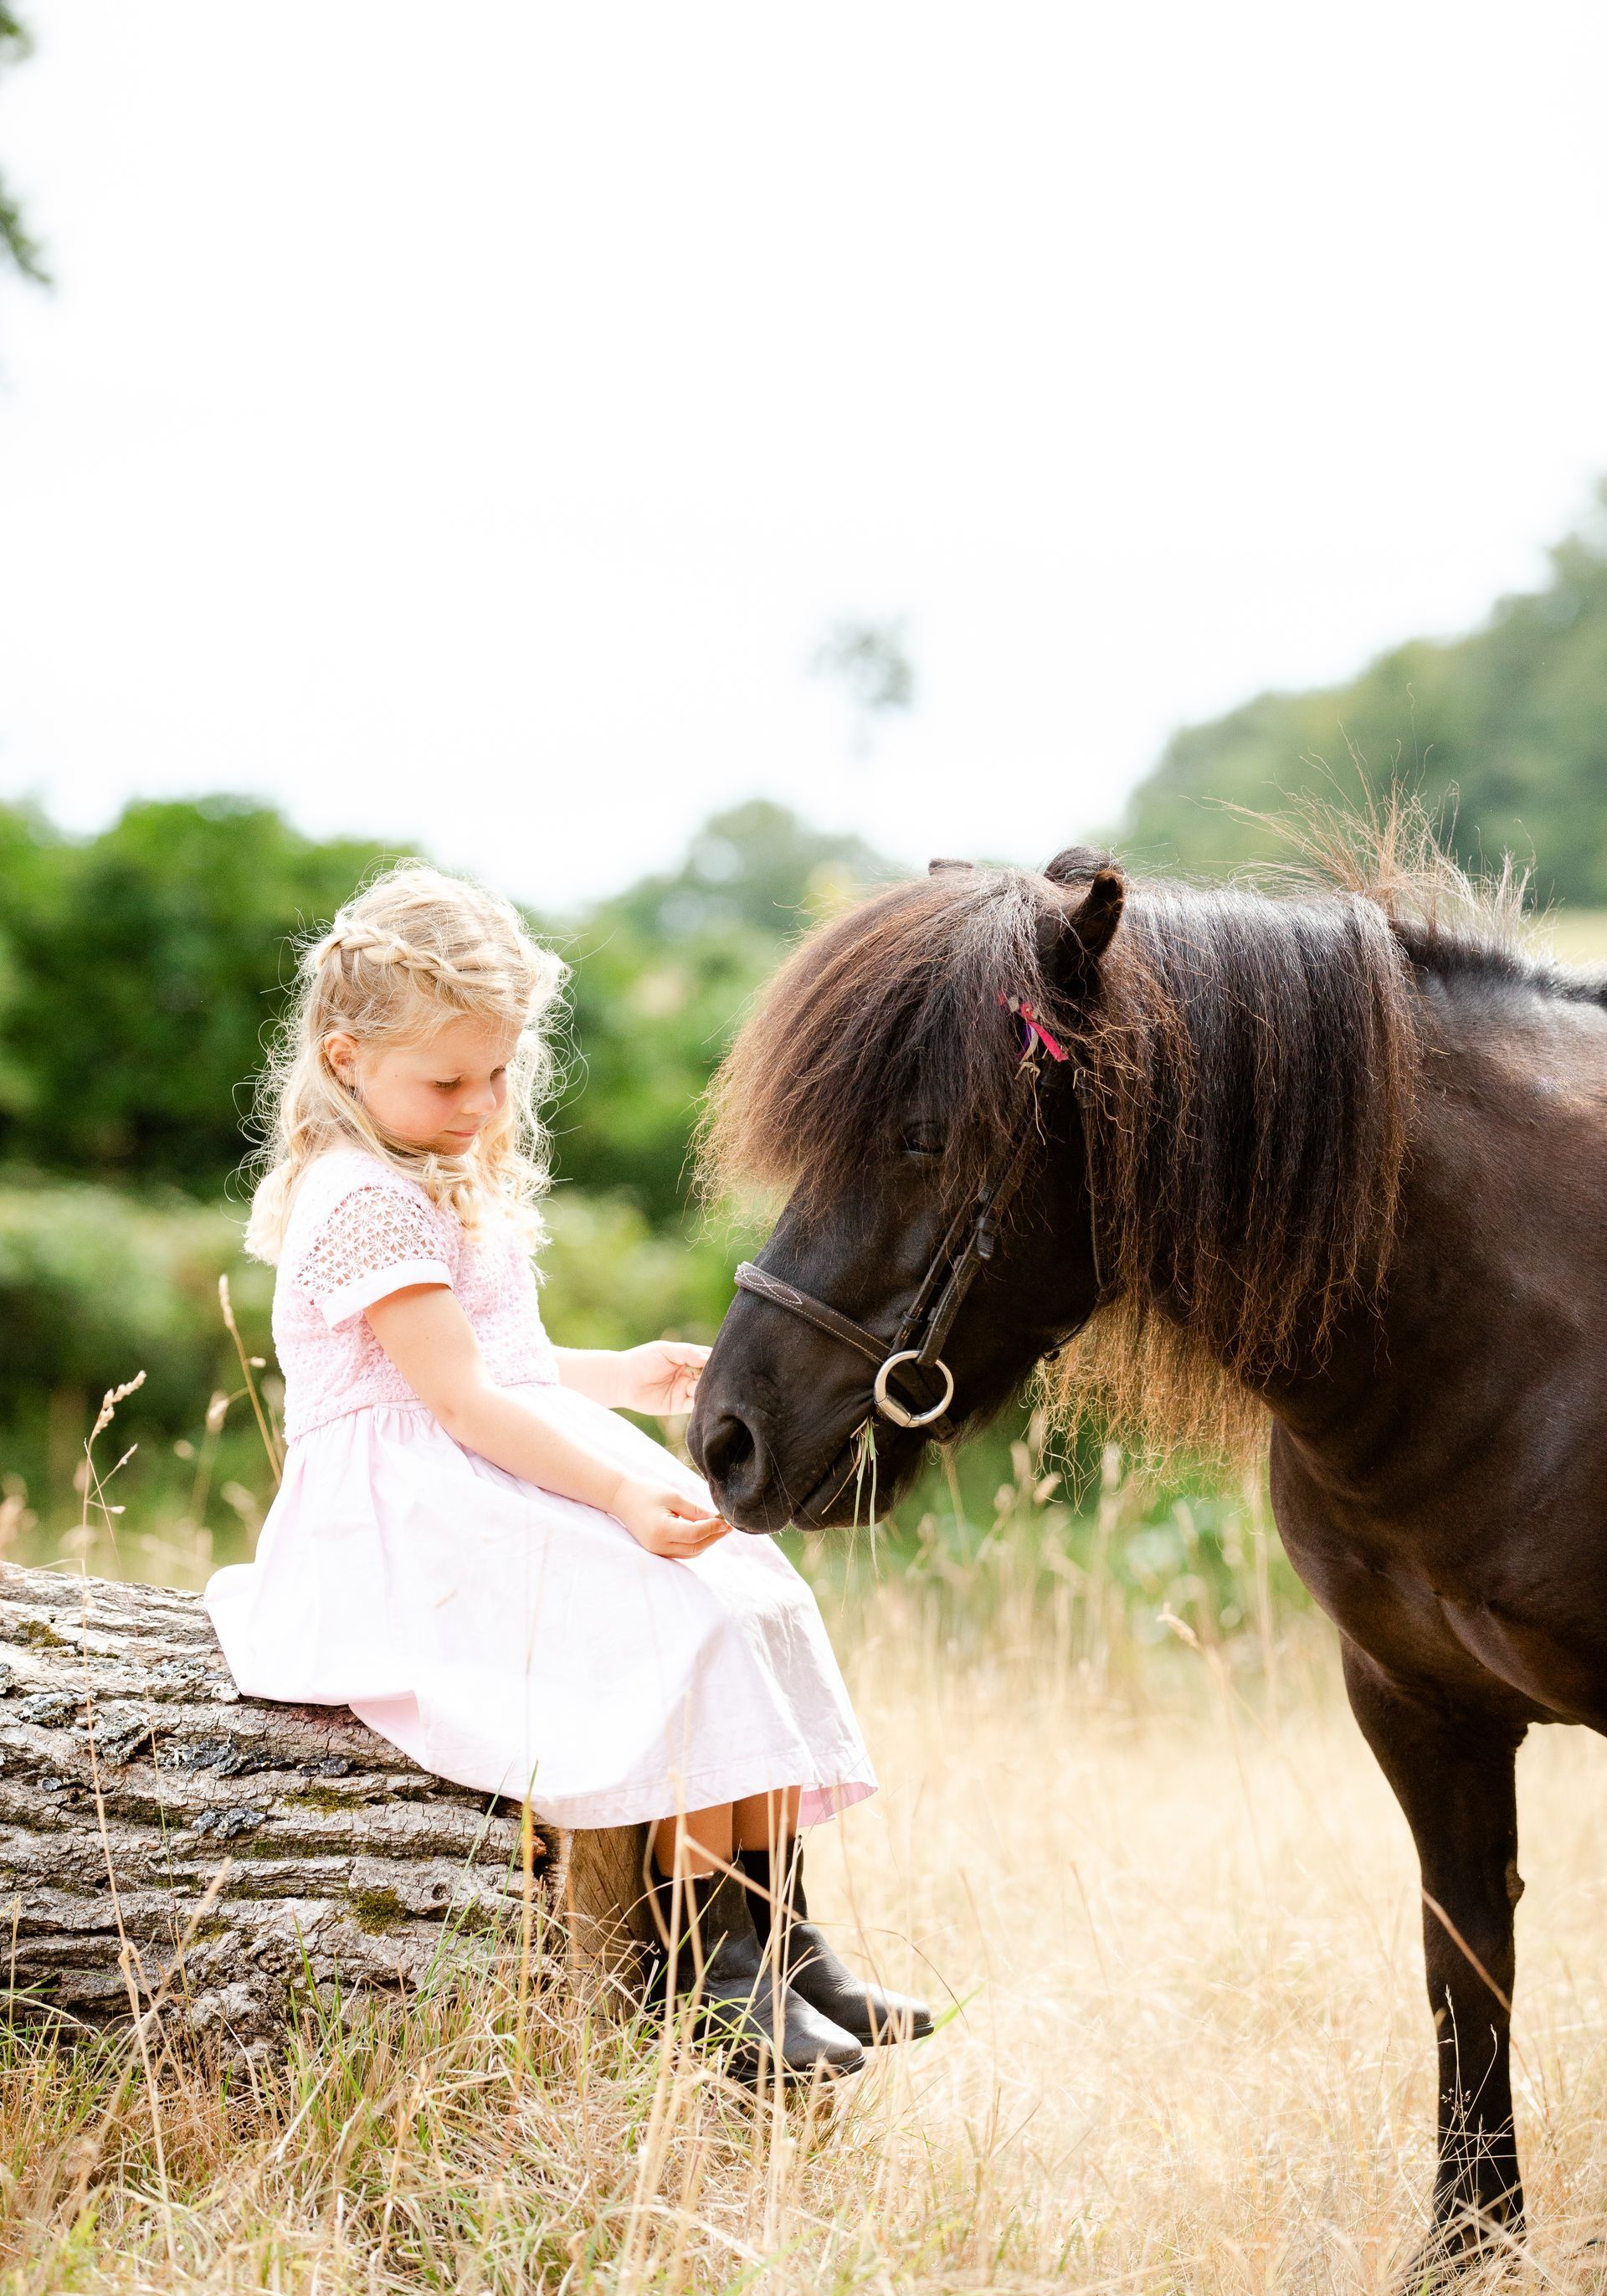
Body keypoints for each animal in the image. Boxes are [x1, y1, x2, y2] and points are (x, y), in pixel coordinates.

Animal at [685, 829, 1607, 2268]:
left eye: (922, 1136)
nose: (724, 1436)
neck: (1525, 1309)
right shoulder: (1420, 1709)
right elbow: (1467, 1966)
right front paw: (1469, 2246)